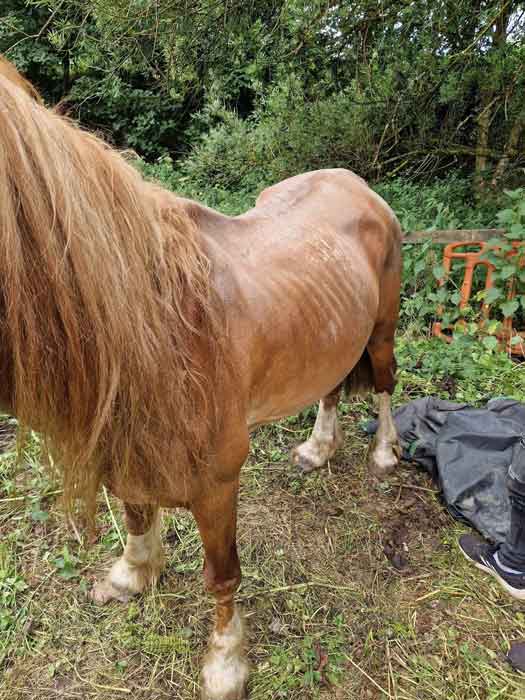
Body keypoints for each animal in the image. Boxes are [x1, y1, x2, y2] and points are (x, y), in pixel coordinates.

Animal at [1, 57, 402, 696]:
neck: (158, 323)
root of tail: (356, 184)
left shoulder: (217, 483)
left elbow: (221, 576)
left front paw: (225, 664)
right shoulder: (125, 449)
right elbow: (137, 515)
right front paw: (130, 576)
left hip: (382, 328)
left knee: (386, 383)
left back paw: (384, 453)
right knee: (332, 387)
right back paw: (317, 449)